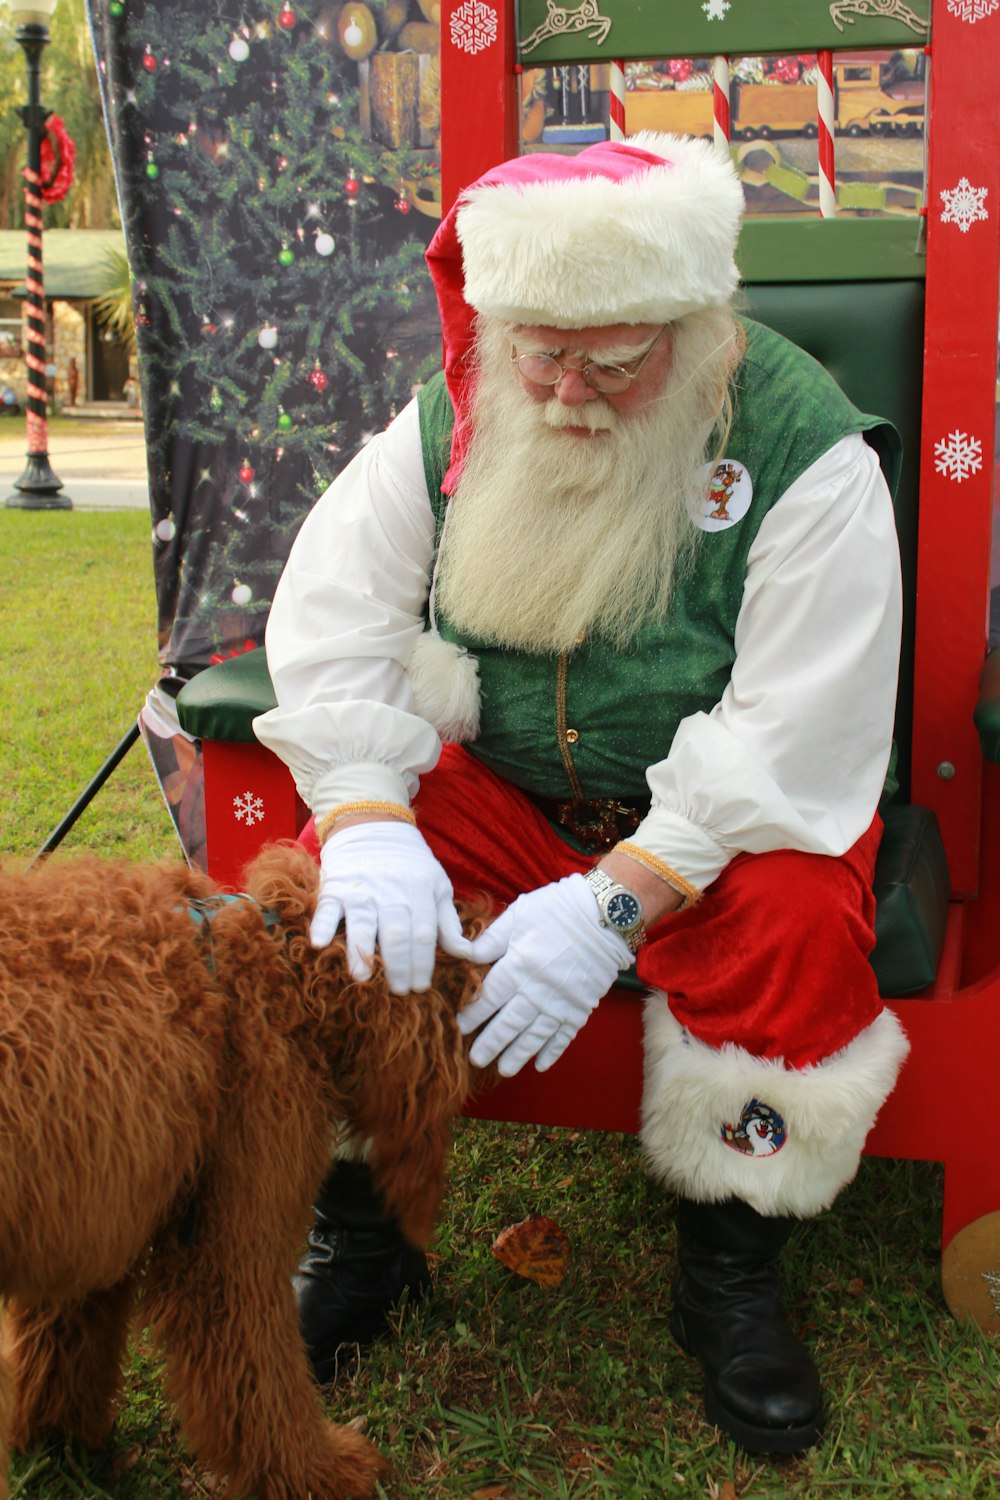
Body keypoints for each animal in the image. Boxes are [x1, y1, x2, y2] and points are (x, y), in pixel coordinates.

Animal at [0, 840, 485, 1494]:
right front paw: (319, 1472)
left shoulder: (92, 1222)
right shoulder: (229, 1239)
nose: (491, 916)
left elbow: (60, 1351)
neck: (280, 966)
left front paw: (61, 1443)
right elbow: (261, 1376)